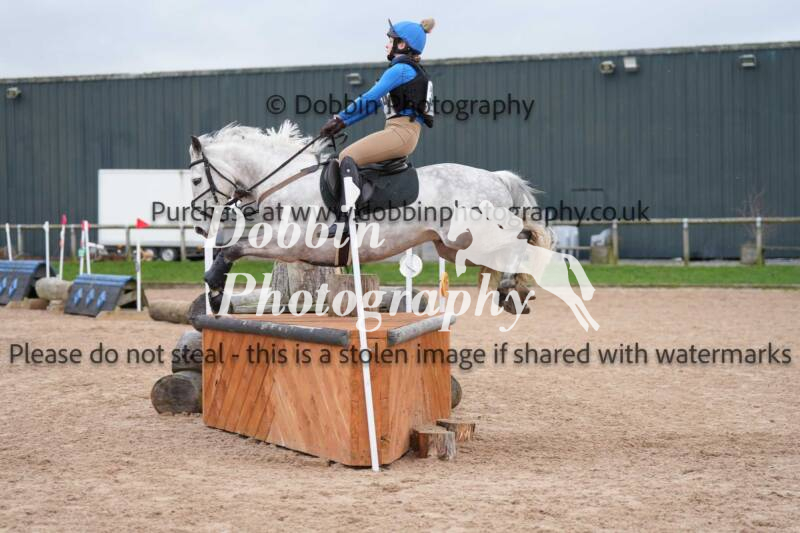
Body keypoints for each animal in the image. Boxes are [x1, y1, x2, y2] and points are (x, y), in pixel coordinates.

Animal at [188, 121, 552, 313]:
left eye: (193, 181)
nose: (199, 226)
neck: (285, 179)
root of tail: (496, 177)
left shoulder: (290, 243)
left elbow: (234, 247)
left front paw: (215, 288)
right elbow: (235, 247)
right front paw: (215, 290)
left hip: (471, 236)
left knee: (522, 239)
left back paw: (511, 287)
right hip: (452, 246)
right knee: (509, 249)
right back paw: (513, 292)